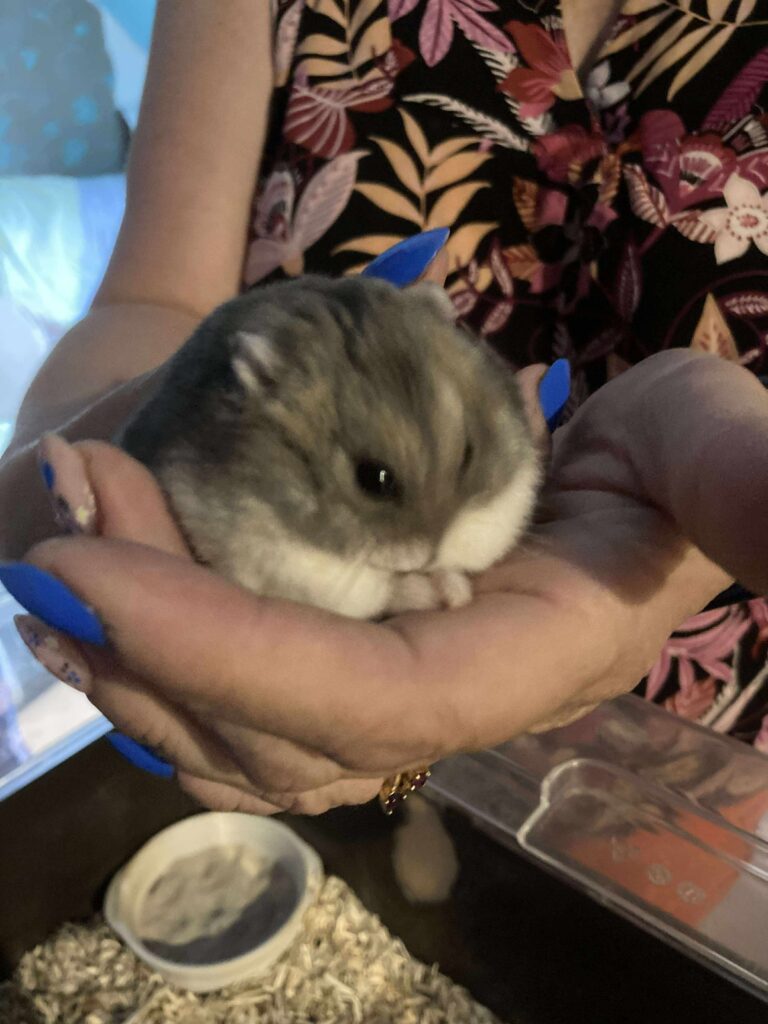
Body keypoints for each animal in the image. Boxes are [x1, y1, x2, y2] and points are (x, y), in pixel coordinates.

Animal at [118, 275, 540, 619]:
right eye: (373, 479)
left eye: (469, 454)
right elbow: (382, 591)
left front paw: (454, 590)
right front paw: (445, 594)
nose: (429, 554)